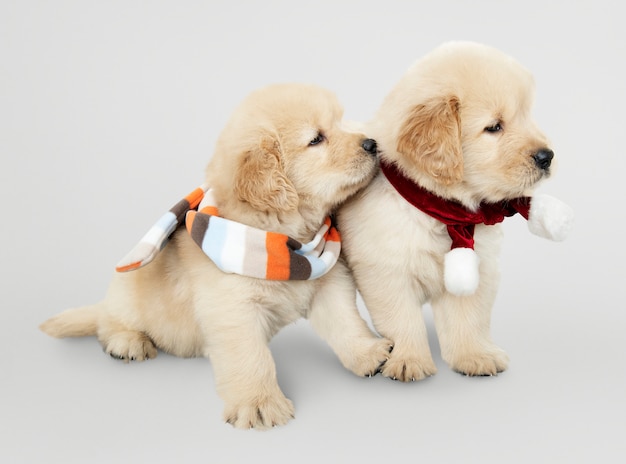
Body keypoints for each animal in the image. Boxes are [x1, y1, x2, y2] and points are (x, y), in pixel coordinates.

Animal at [40, 82, 390, 428]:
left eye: (341, 121)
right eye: (316, 139)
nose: (372, 143)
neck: (284, 239)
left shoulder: (328, 285)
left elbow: (346, 322)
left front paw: (369, 353)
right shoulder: (233, 308)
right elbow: (252, 358)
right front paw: (259, 403)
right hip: (128, 290)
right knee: (108, 321)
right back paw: (127, 341)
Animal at [336, 41, 572, 380]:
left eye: (527, 116)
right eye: (494, 127)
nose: (547, 156)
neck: (444, 212)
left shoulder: (479, 266)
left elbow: (468, 319)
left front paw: (474, 356)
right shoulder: (386, 271)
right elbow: (402, 321)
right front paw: (409, 360)